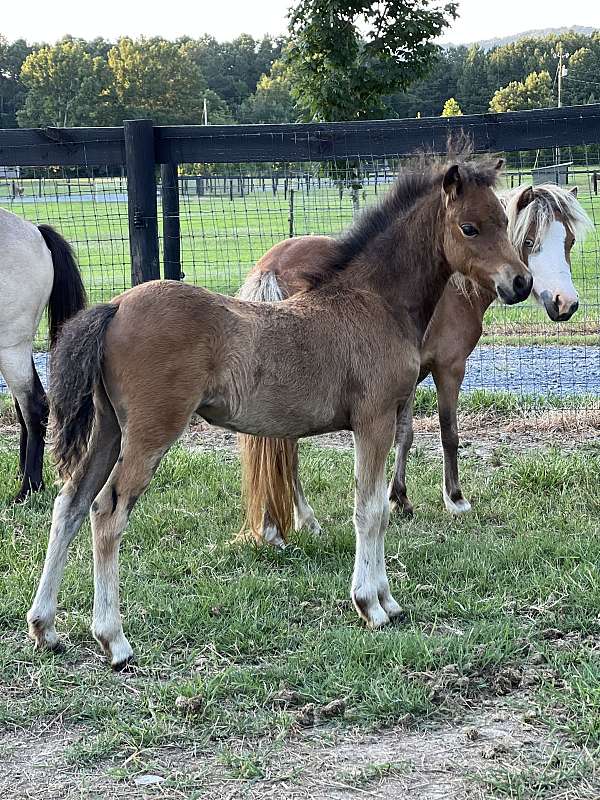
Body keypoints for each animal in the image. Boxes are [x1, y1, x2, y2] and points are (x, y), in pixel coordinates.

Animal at [30, 147, 532, 664]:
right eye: (469, 227)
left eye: (503, 220)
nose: (521, 282)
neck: (375, 302)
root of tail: (114, 308)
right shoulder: (372, 420)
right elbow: (370, 510)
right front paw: (371, 604)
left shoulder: (387, 418)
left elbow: (380, 507)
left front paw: (389, 601)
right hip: (150, 433)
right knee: (107, 512)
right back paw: (114, 638)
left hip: (110, 429)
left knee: (70, 503)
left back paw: (45, 627)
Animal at [240, 181, 596, 544]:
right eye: (528, 241)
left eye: (569, 240)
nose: (565, 303)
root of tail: (271, 266)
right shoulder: (448, 368)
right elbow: (448, 432)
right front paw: (455, 499)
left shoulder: (407, 378)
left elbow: (405, 435)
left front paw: (398, 497)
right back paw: (303, 519)